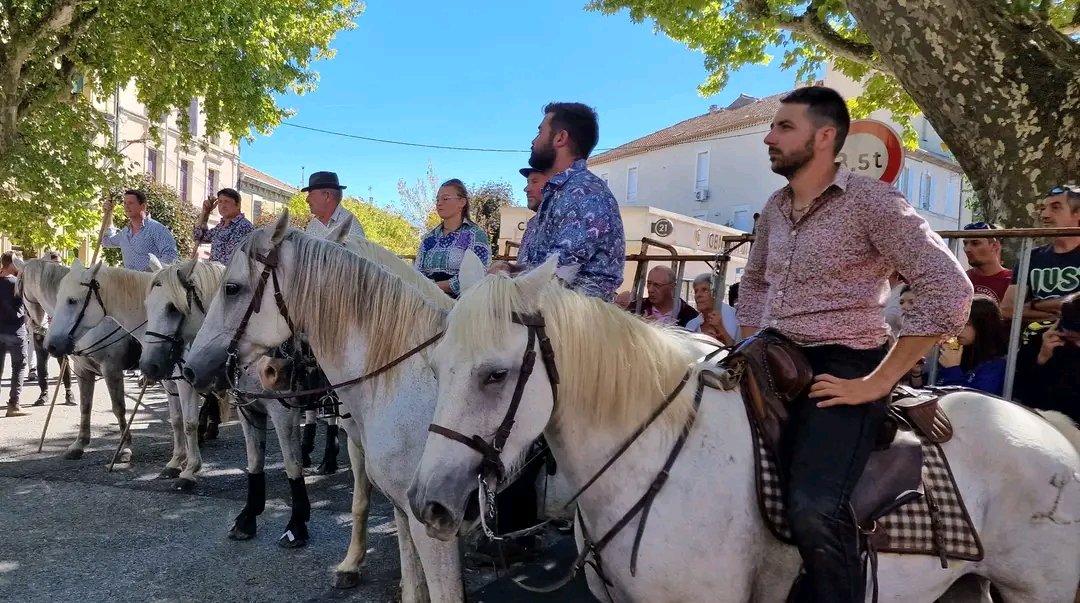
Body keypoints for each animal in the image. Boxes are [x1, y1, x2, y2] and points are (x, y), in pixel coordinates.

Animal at [19, 259, 172, 462]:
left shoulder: (111, 368)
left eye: (71, 301)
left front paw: (125, 447)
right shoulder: (83, 369)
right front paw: (79, 444)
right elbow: (85, 406)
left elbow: (118, 407)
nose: (39, 334)